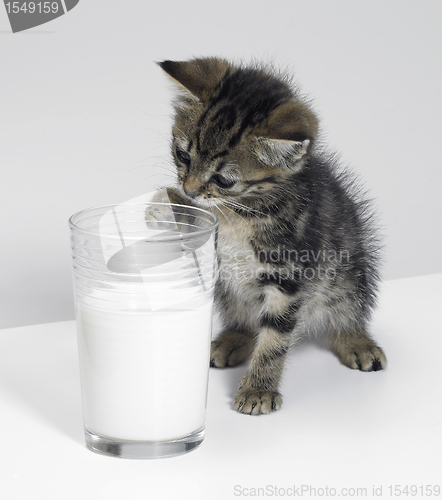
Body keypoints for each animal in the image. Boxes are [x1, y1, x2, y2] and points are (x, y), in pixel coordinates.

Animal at [154, 57, 386, 414]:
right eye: (183, 156)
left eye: (223, 180)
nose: (189, 189)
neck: (240, 212)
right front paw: (166, 203)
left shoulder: (289, 275)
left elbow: (275, 338)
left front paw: (258, 389)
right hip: (230, 290)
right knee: (245, 318)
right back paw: (233, 339)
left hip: (348, 274)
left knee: (346, 311)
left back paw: (356, 340)